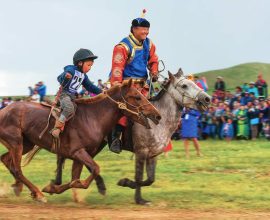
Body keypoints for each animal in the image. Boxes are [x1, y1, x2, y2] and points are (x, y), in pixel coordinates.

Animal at [0, 79, 160, 203]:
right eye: (137, 96)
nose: (157, 115)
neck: (92, 117)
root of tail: (4, 110)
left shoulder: (79, 157)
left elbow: (74, 180)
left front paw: (53, 187)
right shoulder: (78, 152)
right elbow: (93, 170)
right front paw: (53, 188)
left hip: (26, 143)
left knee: (7, 160)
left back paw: (20, 187)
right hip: (16, 143)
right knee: (17, 169)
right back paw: (37, 194)